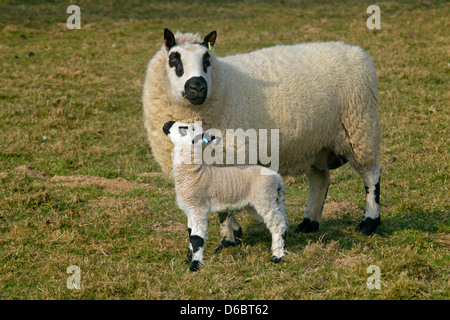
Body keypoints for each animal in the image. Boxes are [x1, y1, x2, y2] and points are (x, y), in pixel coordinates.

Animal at [142, 28, 382, 241]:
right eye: (174, 59)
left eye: (207, 59)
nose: (197, 87)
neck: (223, 89)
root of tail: (355, 50)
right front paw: (234, 233)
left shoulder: (230, 158)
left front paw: (228, 238)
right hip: (314, 143)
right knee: (320, 180)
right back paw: (308, 224)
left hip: (359, 127)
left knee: (371, 174)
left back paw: (369, 223)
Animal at [164, 121, 288, 272]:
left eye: (185, 128)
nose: (167, 123)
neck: (194, 174)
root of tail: (277, 178)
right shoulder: (190, 210)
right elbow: (190, 233)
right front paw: (188, 259)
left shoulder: (198, 208)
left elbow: (196, 238)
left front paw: (195, 265)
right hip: (264, 202)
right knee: (282, 220)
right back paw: (282, 246)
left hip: (263, 197)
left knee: (277, 224)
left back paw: (277, 256)